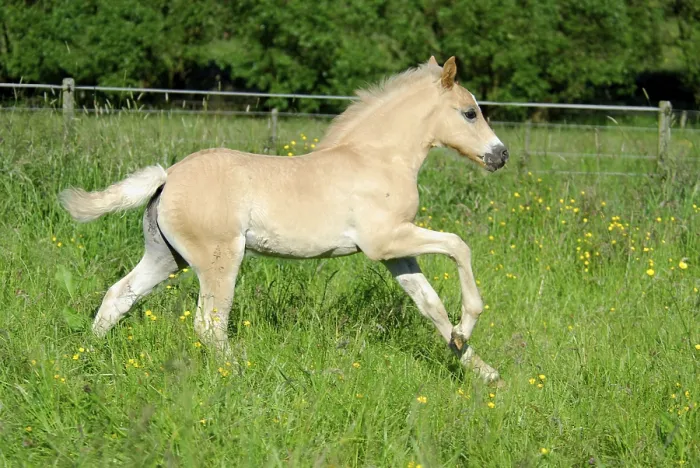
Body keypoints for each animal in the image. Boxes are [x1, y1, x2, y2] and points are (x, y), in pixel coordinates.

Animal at [59, 56, 509, 384]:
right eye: (470, 113)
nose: (500, 155)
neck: (377, 158)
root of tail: (168, 176)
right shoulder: (386, 241)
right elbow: (458, 246)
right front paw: (468, 327)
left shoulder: (395, 253)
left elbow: (431, 306)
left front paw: (480, 367)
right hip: (219, 259)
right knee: (209, 325)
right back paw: (240, 375)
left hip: (167, 257)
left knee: (118, 295)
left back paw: (88, 357)